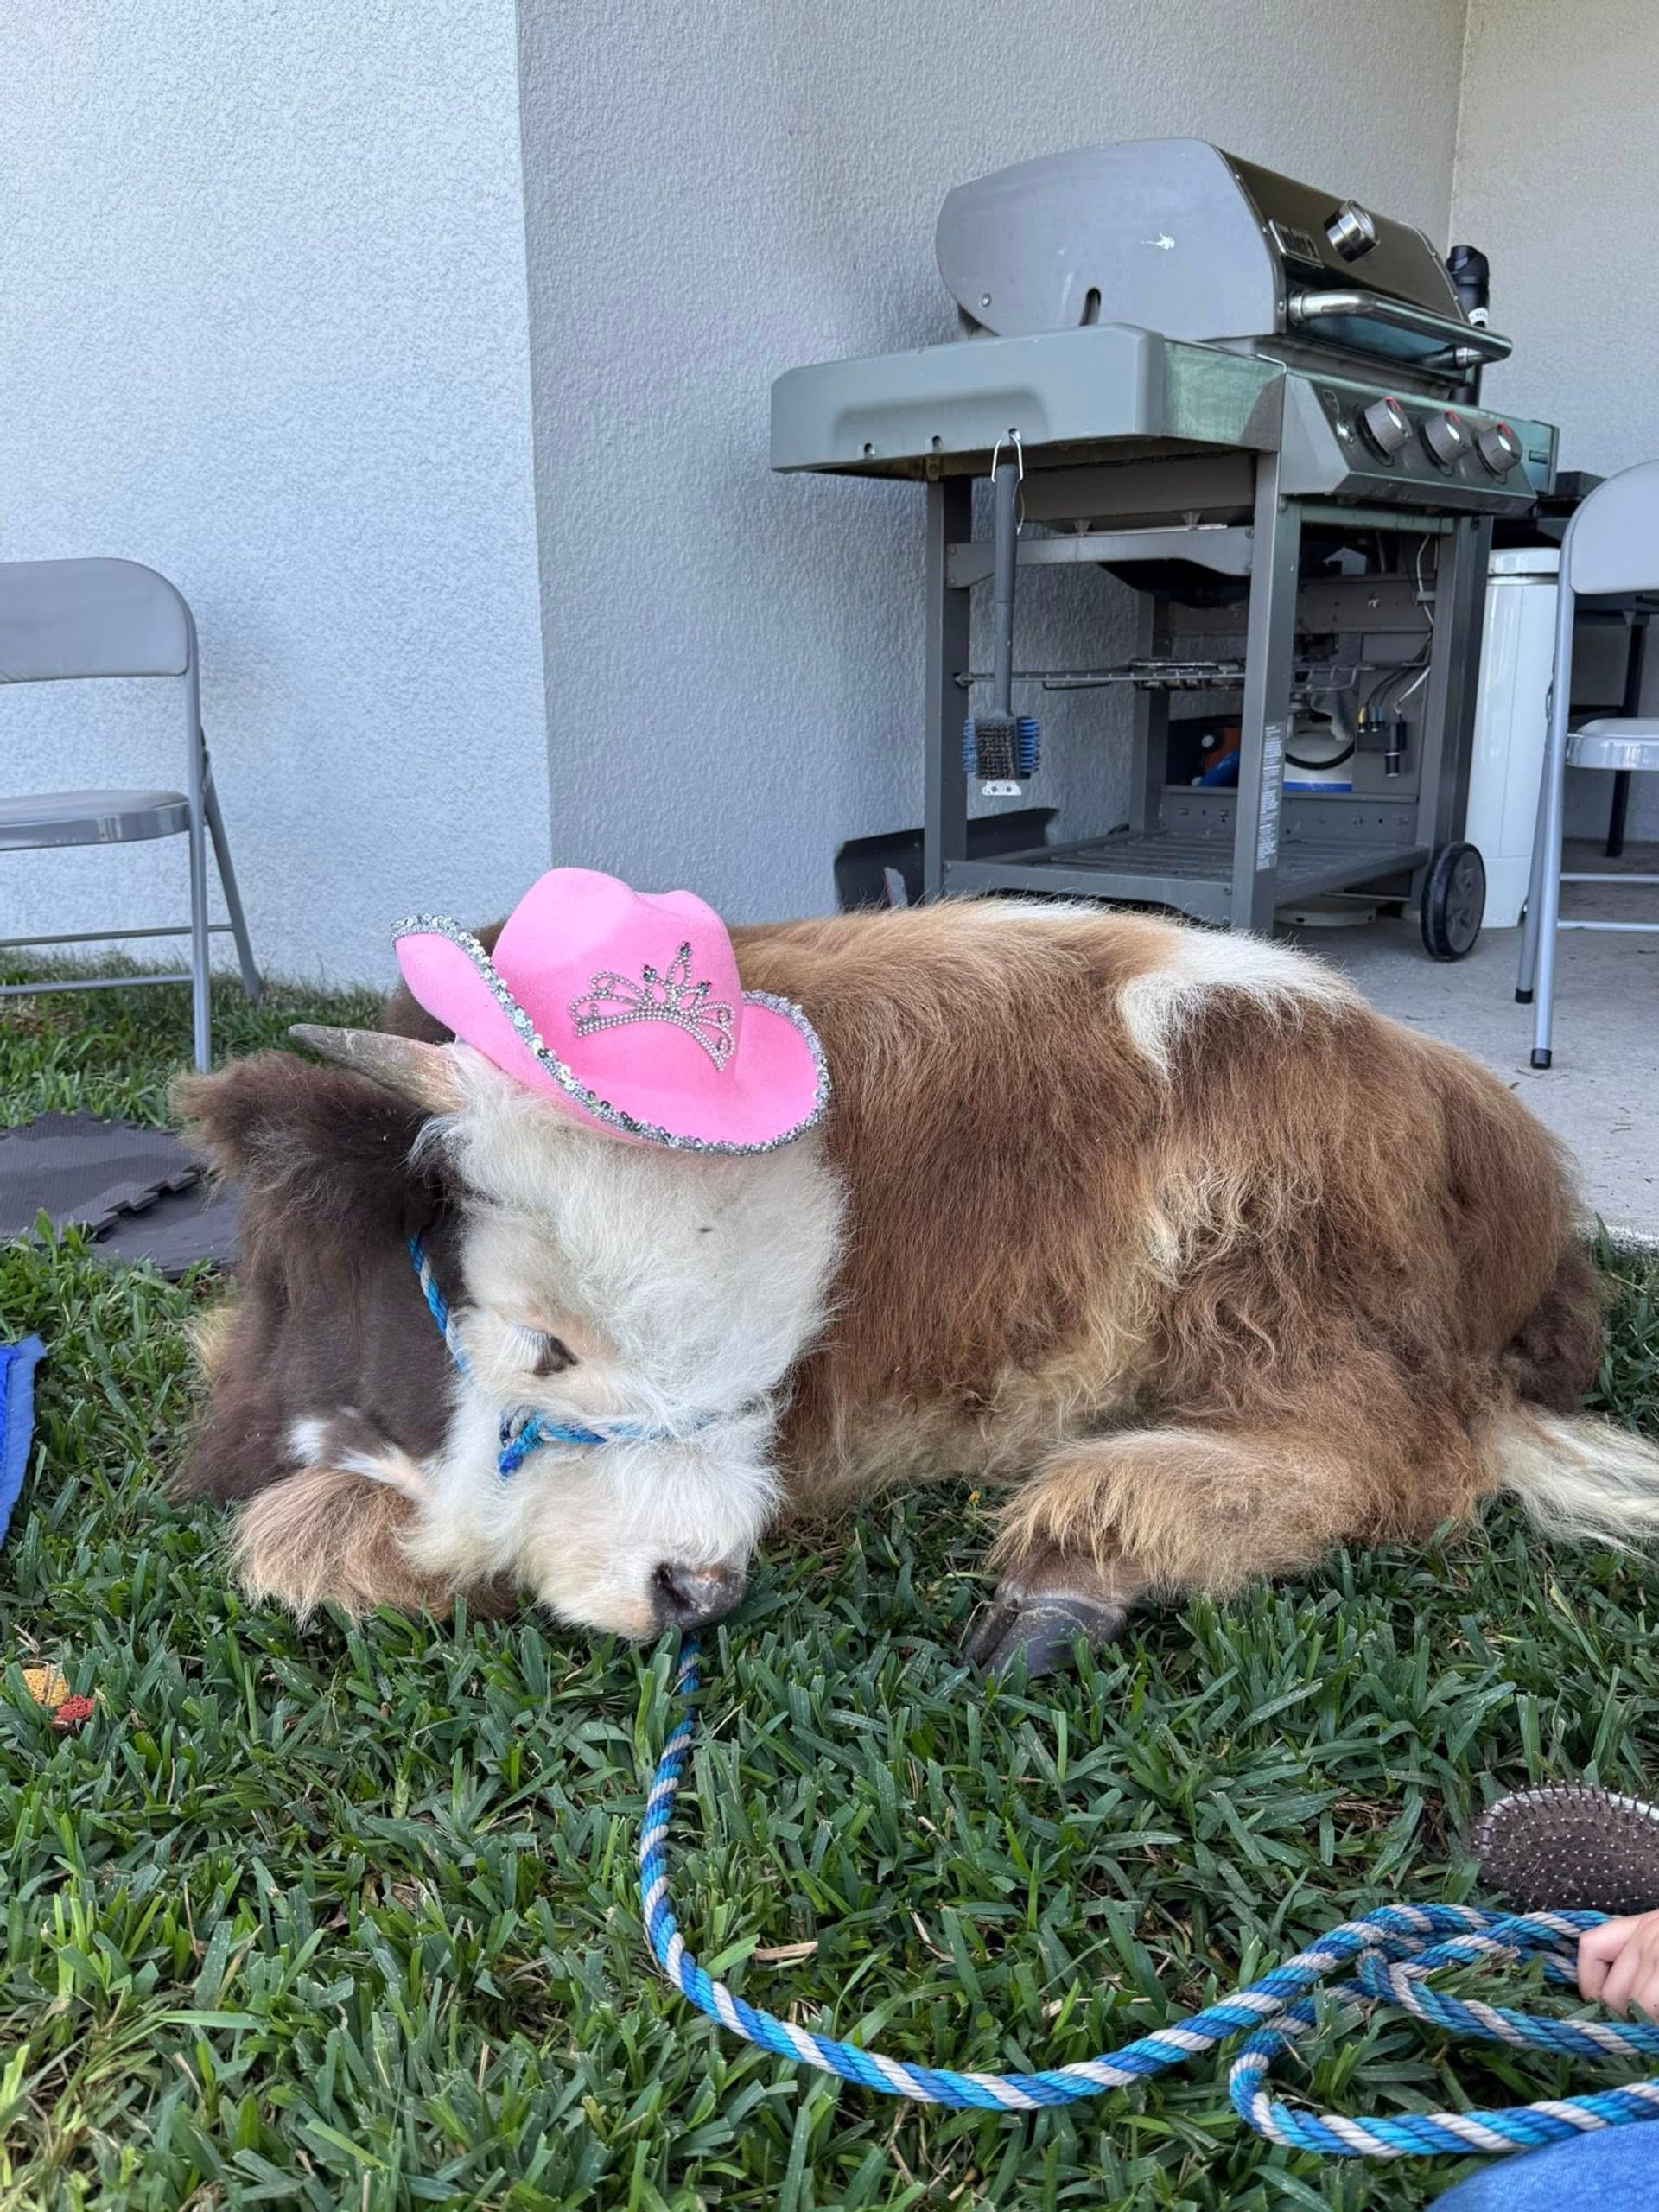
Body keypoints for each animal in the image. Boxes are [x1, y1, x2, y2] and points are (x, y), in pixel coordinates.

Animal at [175, 900, 1658, 1674]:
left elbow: (298, 1542)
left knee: (1404, 1452)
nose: (696, 1587)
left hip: (1267, 1252)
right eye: (544, 1344)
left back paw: (1083, 1553)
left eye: (769, 1371)